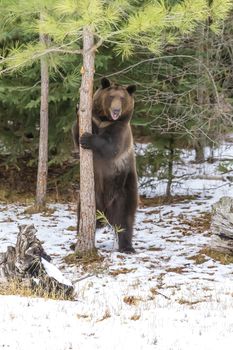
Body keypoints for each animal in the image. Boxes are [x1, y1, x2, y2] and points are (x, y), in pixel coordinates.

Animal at [73, 77, 137, 252]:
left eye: (122, 98)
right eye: (111, 97)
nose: (116, 110)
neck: (105, 120)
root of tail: (106, 211)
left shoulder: (120, 130)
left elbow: (111, 147)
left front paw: (87, 138)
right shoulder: (94, 120)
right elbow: (75, 132)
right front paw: (78, 109)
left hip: (124, 189)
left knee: (125, 220)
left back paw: (127, 247)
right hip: (90, 197)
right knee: (81, 217)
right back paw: (76, 243)